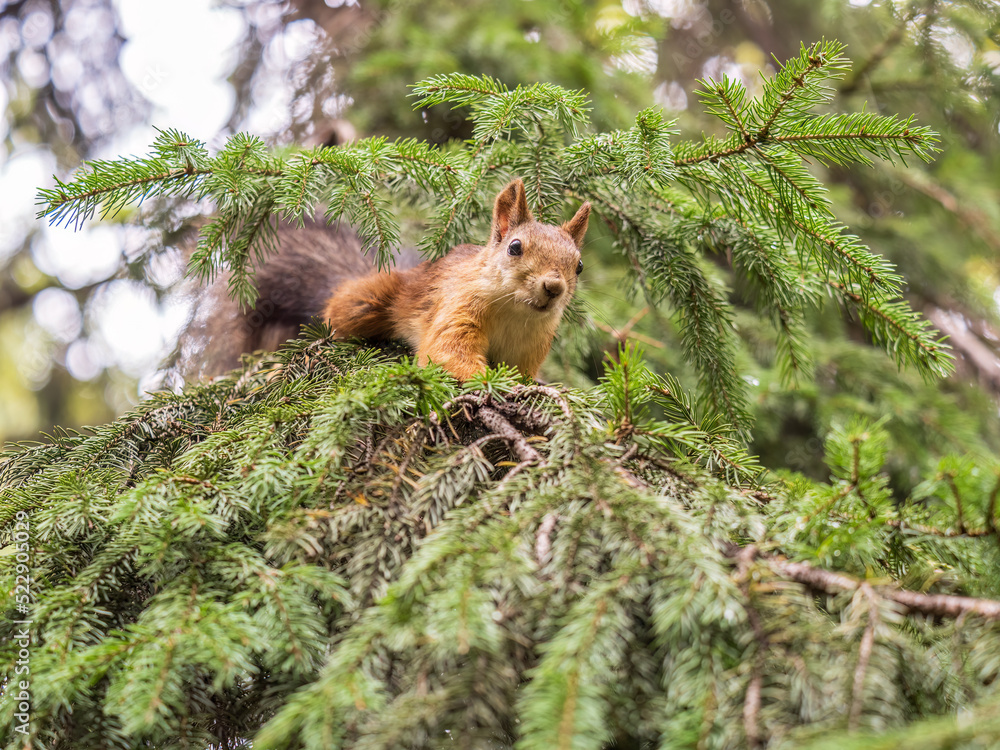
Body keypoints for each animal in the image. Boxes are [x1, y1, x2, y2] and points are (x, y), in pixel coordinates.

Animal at [180, 178, 590, 382]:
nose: (553, 287)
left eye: (579, 266)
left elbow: (522, 374)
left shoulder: (530, 348)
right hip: (366, 305)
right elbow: (447, 353)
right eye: (515, 247)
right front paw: (488, 382)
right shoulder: (456, 310)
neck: (515, 312)